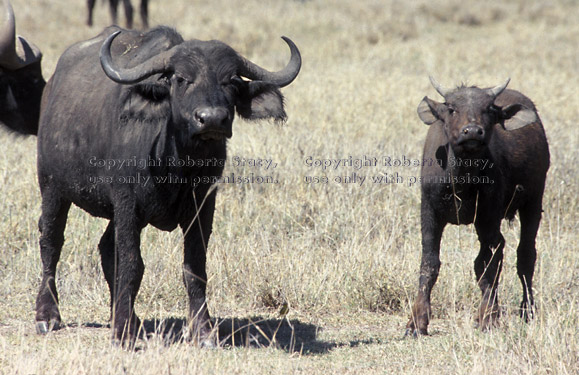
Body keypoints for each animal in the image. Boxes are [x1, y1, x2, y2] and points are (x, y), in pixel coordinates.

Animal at [35, 26, 302, 348]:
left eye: (231, 80)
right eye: (181, 79)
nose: (211, 119)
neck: (177, 166)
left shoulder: (203, 205)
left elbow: (194, 268)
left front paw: (203, 331)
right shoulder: (127, 203)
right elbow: (131, 265)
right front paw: (122, 333)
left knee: (105, 247)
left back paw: (129, 317)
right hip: (52, 187)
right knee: (51, 242)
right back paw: (48, 315)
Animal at [406, 78, 552, 336]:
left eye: (488, 110)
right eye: (451, 108)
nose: (472, 131)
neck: (462, 179)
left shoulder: (488, 217)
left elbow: (487, 265)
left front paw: (487, 317)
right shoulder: (429, 213)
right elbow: (429, 264)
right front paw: (416, 321)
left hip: (534, 201)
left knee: (525, 256)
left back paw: (527, 310)